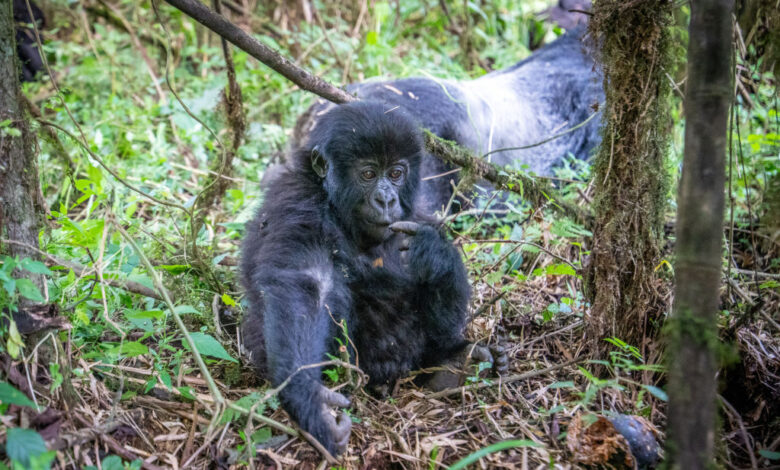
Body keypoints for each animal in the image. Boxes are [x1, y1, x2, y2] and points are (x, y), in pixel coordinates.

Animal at [241, 101, 506, 454]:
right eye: (368, 174)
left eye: (396, 173)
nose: (386, 199)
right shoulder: (297, 201)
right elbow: (309, 283)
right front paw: (309, 399)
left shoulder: (416, 213)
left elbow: (438, 257)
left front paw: (434, 251)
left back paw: (454, 360)